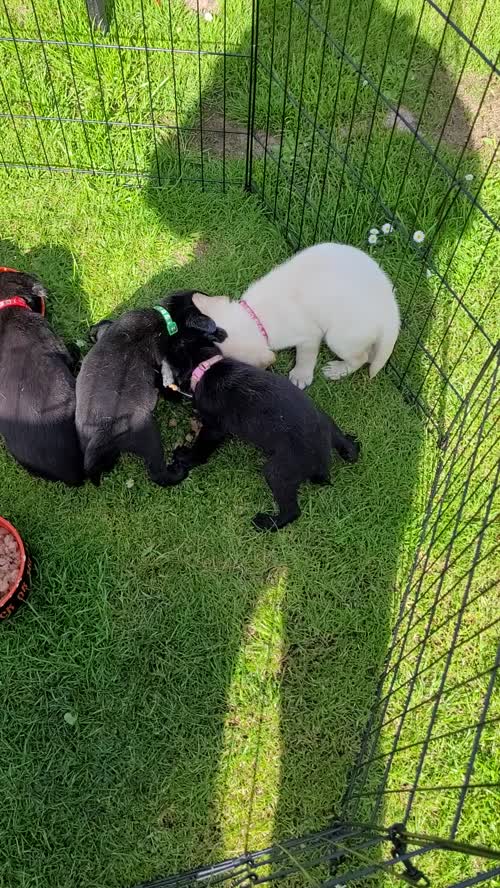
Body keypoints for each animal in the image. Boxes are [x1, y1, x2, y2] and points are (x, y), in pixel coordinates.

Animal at [75, 292, 226, 486]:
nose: (220, 332)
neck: (165, 320)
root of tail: (105, 431)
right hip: (150, 439)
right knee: (157, 473)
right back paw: (178, 471)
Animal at [167, 340, 360, 532]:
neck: (206, 367)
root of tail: (323, 462)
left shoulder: (214, 428)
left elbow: (201, 449)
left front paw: (184, 456)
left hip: (277, 472)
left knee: (292, 511)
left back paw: (267, 523)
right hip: (325, 420)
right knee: (343, 442)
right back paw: (352, 446)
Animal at [170, 243, 400, 388]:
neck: (257, 316)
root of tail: (391, 313)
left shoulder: (309, 336)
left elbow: (305, 356)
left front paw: (301, 375)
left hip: (340, 338)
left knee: (362, 358)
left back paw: (338, 370)